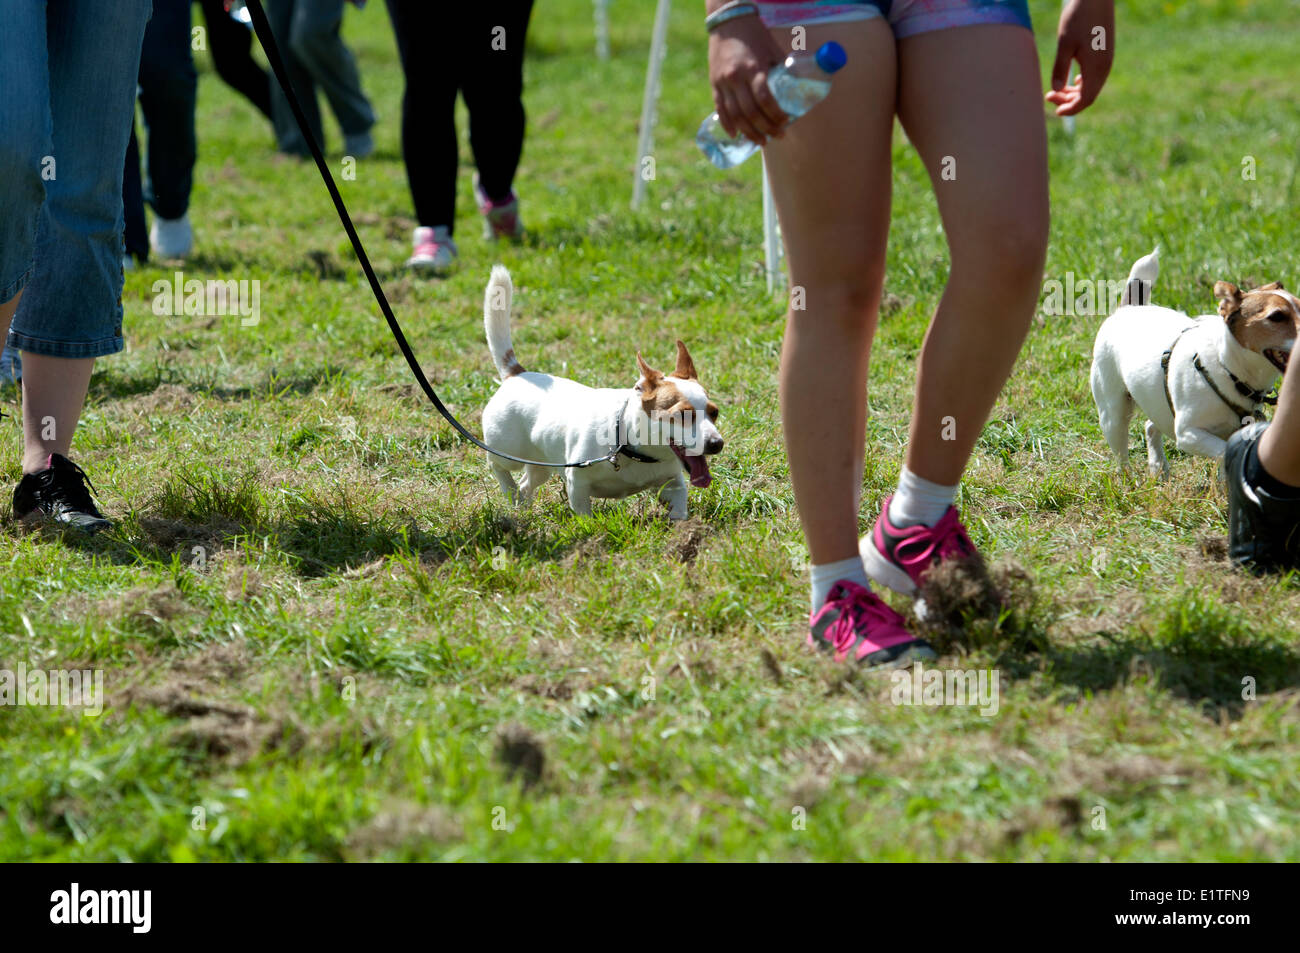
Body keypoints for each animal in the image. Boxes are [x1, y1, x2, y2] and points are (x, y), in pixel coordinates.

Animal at [478, 265, 722, 520]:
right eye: (682, 415)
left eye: (715, 413)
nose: (717, 443)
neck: (629, 444)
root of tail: (516, 374)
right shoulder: (577, 482)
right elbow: (584, 514)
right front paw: (587, 526)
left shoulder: (672, 483)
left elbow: (678, 509)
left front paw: (683, 526)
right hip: (507, 449)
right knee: (496, 464)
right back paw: (509, 490)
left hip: (541, 464)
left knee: (527, 483)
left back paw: (520, 504)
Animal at [1092, 247, 1294, 473]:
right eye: (1276, 316)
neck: (1226, 368)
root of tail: (1129, 308)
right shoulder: (1188, 434)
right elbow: (1223, 450)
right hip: (1113, 415)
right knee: (1121, 454)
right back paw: (1129, 477)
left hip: (1158, 406)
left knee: (1151, 425)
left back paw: (1158, 466)